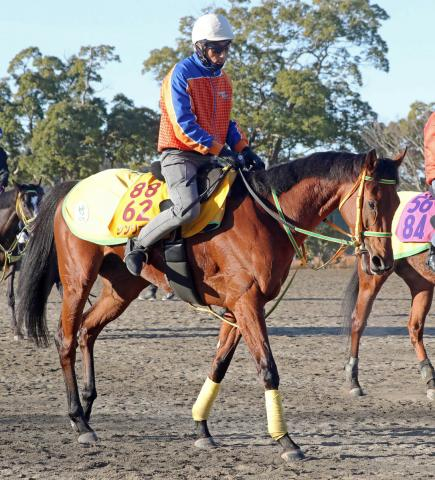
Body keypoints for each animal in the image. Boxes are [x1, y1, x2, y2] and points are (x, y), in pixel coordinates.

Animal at [0, 181, 44, 338]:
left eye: (40, 200)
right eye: (24, 204)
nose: (37, 225)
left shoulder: (11, 265)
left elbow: (11, 297)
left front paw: (17, 331)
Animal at [18, 152, 404, 464]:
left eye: (397, 202)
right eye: (372, 202)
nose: (382, 262)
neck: (266, 217)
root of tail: (73, 187)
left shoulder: (236, 309)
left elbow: (218, 365)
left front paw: (202, 428)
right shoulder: (247, 304)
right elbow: (268, 369)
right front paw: (285, 440)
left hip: (121, 290)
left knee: (87, 331)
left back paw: (87, 410)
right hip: (77, 282)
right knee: (66, 338)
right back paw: (78, 418)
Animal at [342, 246, 434, 400]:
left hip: (422, 281)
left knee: (414, 327)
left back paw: (430, 380)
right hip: (373, 277)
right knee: (358, 322)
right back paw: (353, 381)